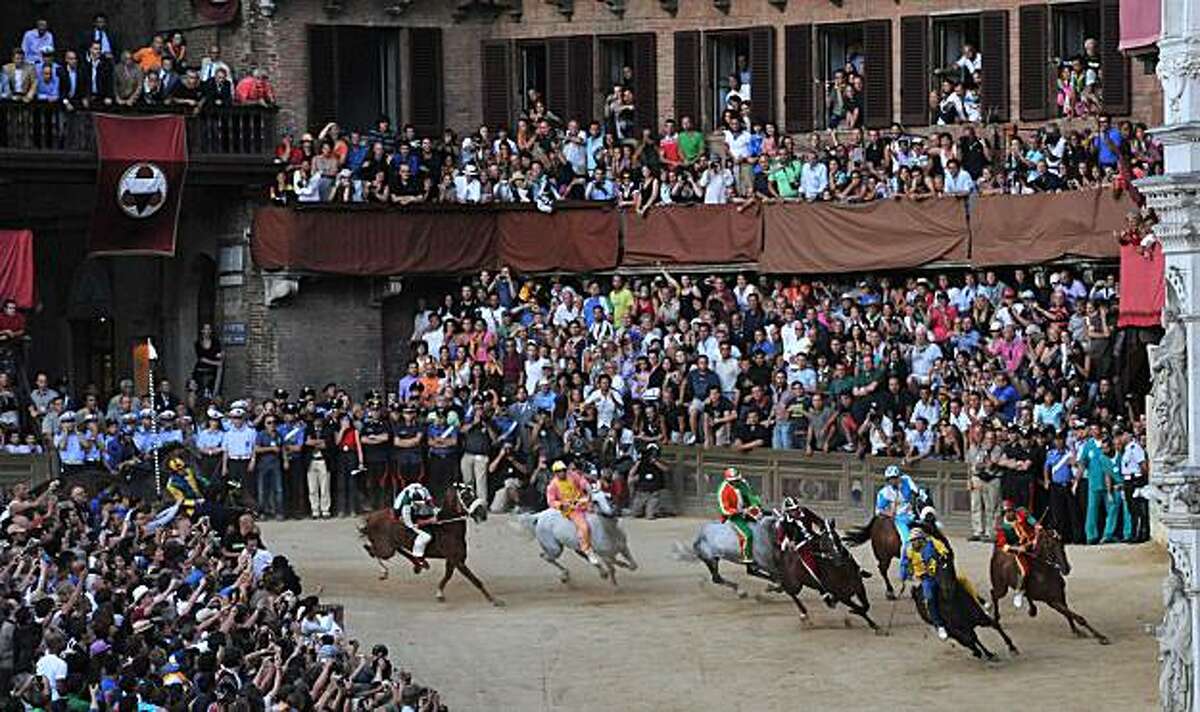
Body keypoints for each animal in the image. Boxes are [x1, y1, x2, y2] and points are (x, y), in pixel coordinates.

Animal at [357, 482, 504, 605]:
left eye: (475, 493)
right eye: (466, 496)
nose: (483, 514)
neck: (447, 527)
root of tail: (371, 517)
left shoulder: (454, 560)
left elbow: (447, 576)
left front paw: (439, 594)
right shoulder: (457, 560)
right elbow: (475, 580)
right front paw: (494, 600)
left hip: (391, 546)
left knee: (391, 549)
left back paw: (419, 563)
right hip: (386, 549)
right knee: (371, 550)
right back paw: (385, 571)